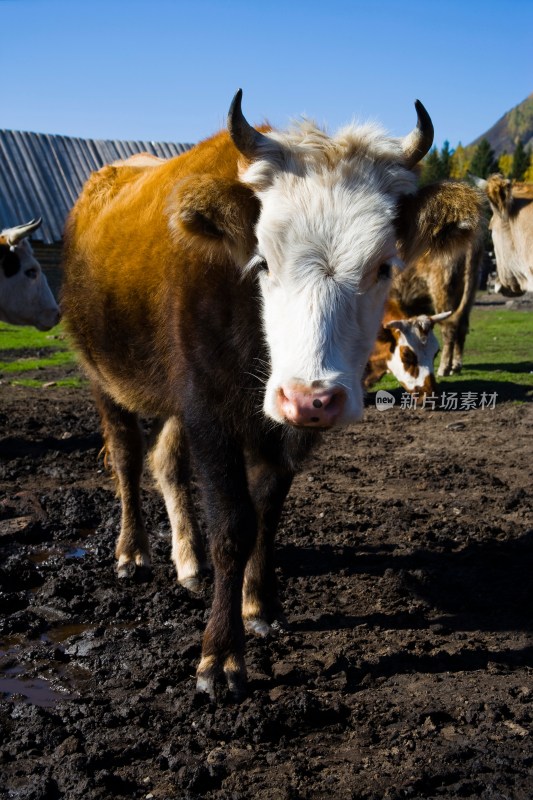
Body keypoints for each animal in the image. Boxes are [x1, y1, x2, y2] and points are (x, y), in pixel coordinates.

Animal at [62, 90, 436, 696]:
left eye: (384, 266)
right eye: (262, 261)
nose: (310, 398)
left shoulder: (273, 430)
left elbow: (266, 511)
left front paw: (259, 605)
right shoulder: (211, 414)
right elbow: (234, 526)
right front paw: (220, 658)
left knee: (166, 461)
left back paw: (188, 562)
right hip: (103, 375)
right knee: (126, 457)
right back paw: (132, 553)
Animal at [388, 181, 484, 376]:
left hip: (442, 288)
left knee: (450, 326)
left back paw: (444, 368)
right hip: (469, 291)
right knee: (462, 325)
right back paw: (456, 365)